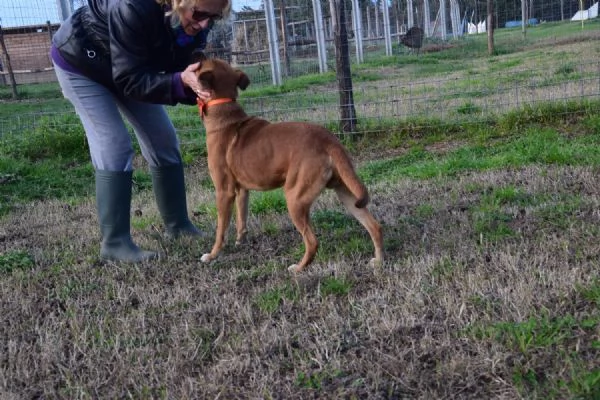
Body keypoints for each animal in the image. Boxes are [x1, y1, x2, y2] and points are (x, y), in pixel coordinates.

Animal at [197, 57, 384, 274]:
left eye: (200, 65)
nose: (196, 55)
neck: (225, 114)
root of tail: (328, 141)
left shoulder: (224, 191)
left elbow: (220, 229)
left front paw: (212, 255)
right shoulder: (242, 190)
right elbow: (241, 219)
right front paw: (240, 241)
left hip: (295, 198)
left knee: (312, 242)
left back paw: (298, 268)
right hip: (346, 192)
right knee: (375, 226)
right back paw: (379, 260)